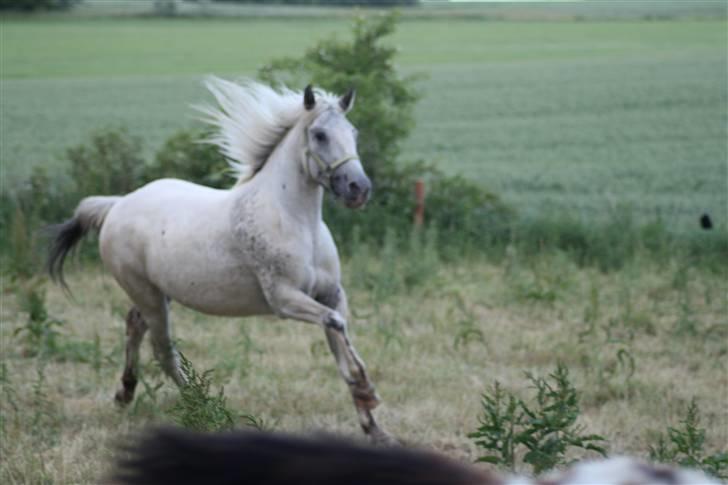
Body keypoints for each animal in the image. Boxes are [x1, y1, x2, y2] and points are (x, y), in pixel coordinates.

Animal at [47, 78, 392, 442]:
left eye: (353, 132)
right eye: (320, 135)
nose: (358, 188)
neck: (296, 222)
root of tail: (118, 205)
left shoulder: (332, 295)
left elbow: (340, 348)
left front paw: (376, 429)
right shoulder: (284, 300)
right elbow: (337, 327)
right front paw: (368, 391)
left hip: (159, 292)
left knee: (135, 326)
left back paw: (125, 394)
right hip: (147, 293)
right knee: (163, 350)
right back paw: (202, 408)